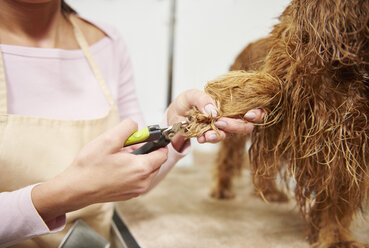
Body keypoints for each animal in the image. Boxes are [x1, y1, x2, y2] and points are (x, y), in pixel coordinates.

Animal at [201, 0, 368, 248]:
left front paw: (335, 237)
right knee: (228, 157)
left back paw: (269, 191)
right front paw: (241, 91)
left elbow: (338, 198)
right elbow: (275, 87)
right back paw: (221, 188)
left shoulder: (349, 146)